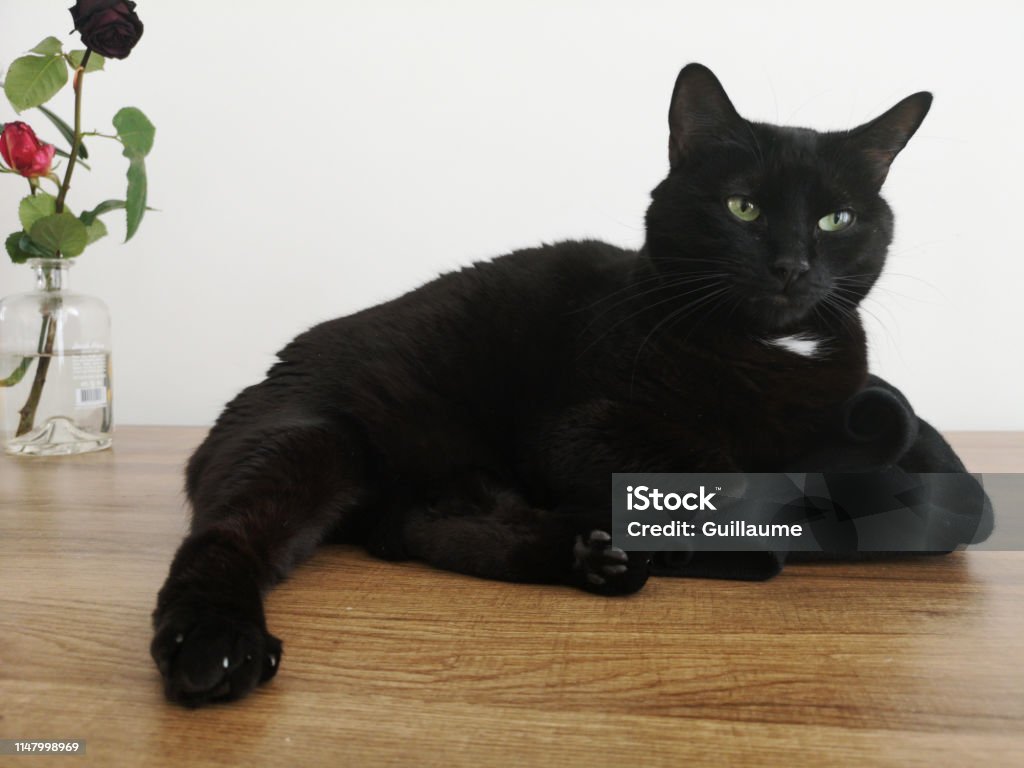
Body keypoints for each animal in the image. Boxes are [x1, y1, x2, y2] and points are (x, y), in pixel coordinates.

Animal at [153, 63, 937, 708]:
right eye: (743, 207)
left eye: (837, 219)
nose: (792, 266)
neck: (771, 352)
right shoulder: (583, 430)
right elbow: (729, 474)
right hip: (308, 441)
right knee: (230, 535)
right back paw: (213, 646)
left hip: (442, 484)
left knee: (435, 529)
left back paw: (593, 556)